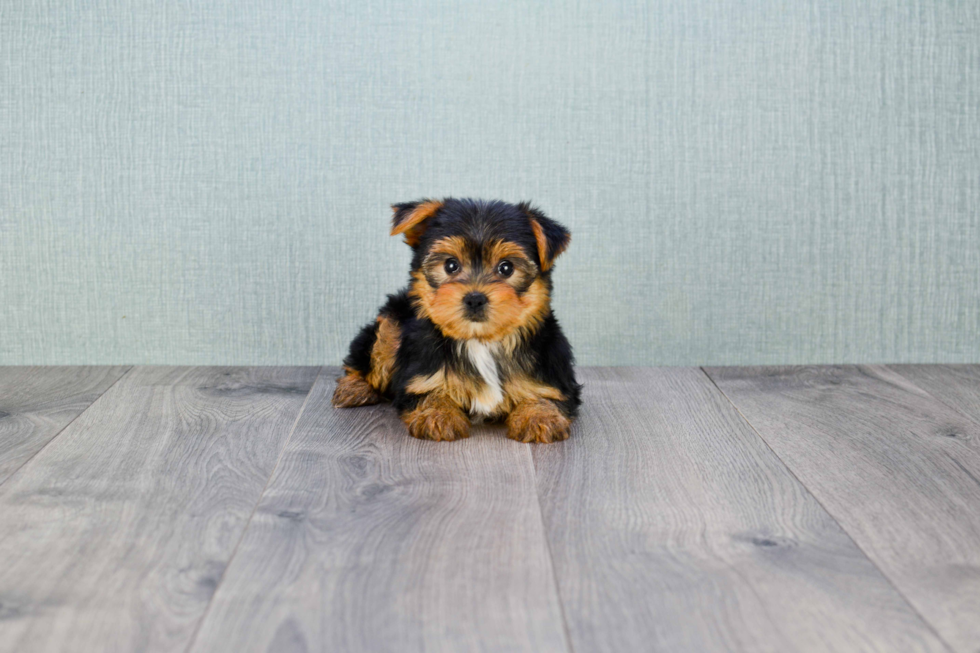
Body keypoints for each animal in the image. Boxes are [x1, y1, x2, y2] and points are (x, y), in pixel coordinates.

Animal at [334, 197, 580, 444]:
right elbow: (428, 391)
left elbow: (545, 394)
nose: (475, 298)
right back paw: (355, 388)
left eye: (506, 267)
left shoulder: (551, 373)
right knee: (367, 357)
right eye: (450, 265)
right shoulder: (419, 376)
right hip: (390, 322)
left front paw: (539, 416)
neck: (479, 340)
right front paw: (437, 414)